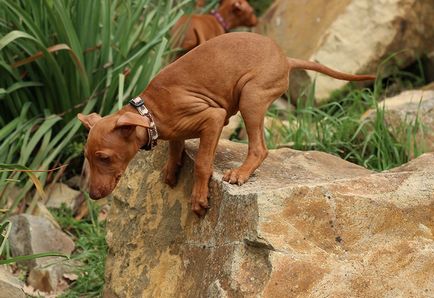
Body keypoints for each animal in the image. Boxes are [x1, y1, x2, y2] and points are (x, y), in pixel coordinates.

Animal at [78, 33, 376, 217]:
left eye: (104, 158)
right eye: (87, 158)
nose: (92, 195)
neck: (150, 111)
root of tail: (285, 58)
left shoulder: (213, 117)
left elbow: (202, 163)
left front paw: (199, 198)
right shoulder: (176, 130)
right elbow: (176, 148)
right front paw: (172, 170)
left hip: (251, 96)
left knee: (259, 148)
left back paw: (241, 173)